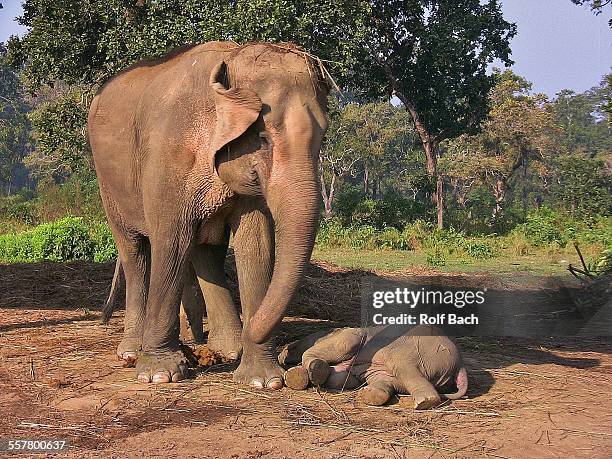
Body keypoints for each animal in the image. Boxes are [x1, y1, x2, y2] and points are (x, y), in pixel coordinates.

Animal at [87, 42, 330, 388]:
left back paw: (225, 348)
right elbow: (172, 240)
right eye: (263, 139)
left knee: (203, 249)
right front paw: (159, 374)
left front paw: (263, 380)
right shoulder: (167, 155)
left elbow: (255, 245)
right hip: (109, 184)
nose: (288, 354)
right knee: (135, 252)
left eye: (321, 138)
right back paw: (133, 352)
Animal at [278, 324, 468, 410]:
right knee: (385, 381)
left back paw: (425, 402)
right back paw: (368, 395)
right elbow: (340, 378)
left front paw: (307, 372)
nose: (283, 353)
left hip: (415, 353)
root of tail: (459, 366)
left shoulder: (349, 336)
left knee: (406, 369)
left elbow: (344, 344)